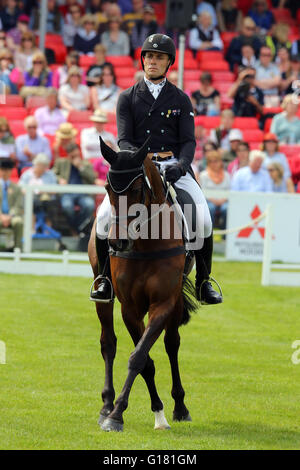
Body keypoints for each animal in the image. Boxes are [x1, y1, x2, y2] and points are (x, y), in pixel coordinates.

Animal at [88, 137, 198, 434]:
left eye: (138, 189)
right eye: (107, 188)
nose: (118, 243)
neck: (147, 241)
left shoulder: (163, 302)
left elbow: (140, 356)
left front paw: (156, 412)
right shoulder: (130, 307)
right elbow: (144, 360)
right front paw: (117, 414)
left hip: (175, 302)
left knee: (172, 344)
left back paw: (180, 406)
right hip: (103, 295)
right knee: (108, 343)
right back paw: (105, 405)